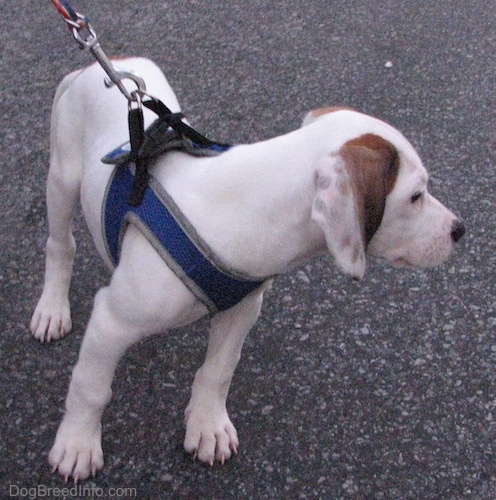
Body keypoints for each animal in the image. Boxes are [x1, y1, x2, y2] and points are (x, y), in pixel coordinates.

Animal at [30, 56, 464, 482]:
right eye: (416, 196)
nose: (459, 230)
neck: (245, 206)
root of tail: (99, 66)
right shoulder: (112, 322)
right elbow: (90, 387)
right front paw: (77, 444)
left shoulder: (242, 308)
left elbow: (219, 370)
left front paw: (207, 426)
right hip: (62, 180)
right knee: (60, 246)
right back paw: (51, 309)